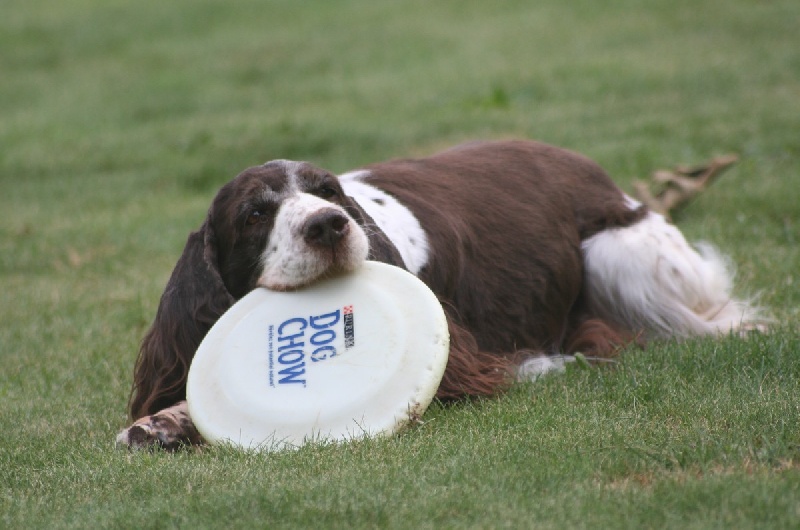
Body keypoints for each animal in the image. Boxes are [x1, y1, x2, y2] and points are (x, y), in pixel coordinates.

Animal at [115, 138, 760, 448]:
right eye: (254, 214)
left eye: (329, 192)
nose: (329, 225)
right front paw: (160, 424)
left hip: (622, 254)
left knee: (706, 317)